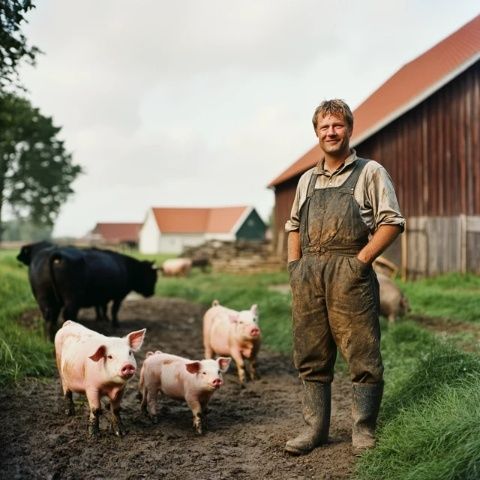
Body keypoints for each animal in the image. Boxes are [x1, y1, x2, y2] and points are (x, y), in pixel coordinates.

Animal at [16, 242, 158, 340]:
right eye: (152, 276)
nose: (152, 293)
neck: (126, 266)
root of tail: (55, 253)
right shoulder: (119, 296)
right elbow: (113, 310)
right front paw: (114, 323)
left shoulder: (102, 297)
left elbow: (101, 307)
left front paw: (102, 319)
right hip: (71, 298)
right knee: (67, 314)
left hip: (44, 297)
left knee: (50, 314)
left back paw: (50, 336)